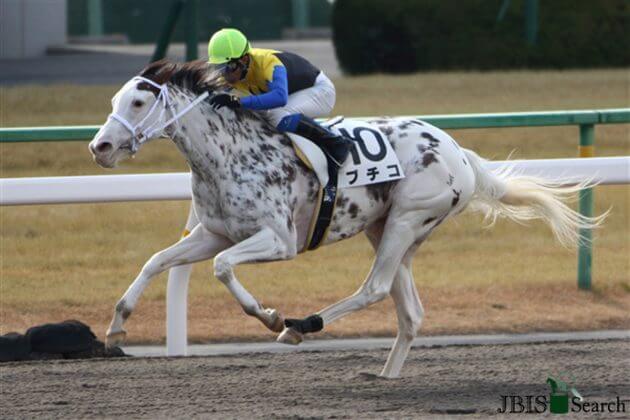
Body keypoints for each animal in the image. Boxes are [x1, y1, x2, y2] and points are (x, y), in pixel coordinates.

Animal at [87, 60, 604, 378]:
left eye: (138, 102)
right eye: (113, 101)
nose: (100, 147)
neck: (228, 153)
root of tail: (460, 152)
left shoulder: (278, 240)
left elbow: (222, 267)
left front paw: (269, 315)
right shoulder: (214, 232)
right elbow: (158, 261)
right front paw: (116, 329)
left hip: (407, 218)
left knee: (374, 288)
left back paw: (299, 326)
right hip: (387, 227)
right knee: (410, 312)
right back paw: (385, 376)